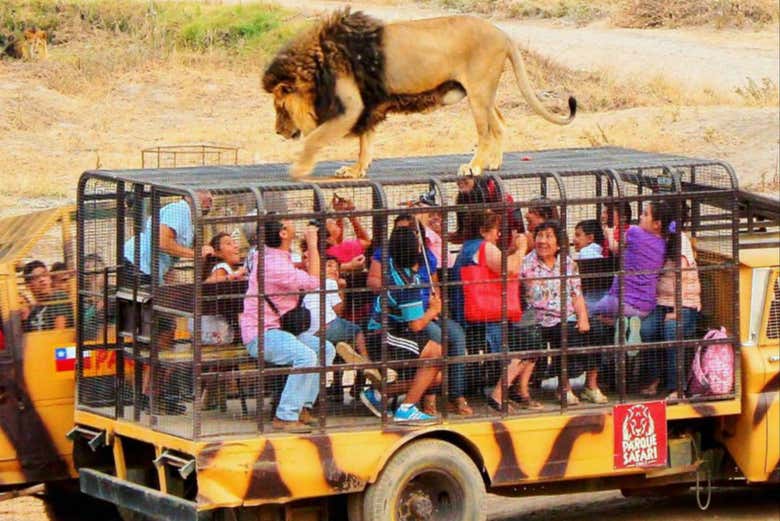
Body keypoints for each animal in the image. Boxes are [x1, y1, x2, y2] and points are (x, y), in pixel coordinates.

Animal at [262, 7, 572, 179]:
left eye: (280, 107)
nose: (277, 131)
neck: (318, 64)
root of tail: (503, 33)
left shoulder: (351, 107)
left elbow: (315, 138)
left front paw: (298, 169)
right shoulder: (367, 103)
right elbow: (365, 142)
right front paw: (355, 170)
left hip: (479, 92)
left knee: (485, 132)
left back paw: (474, 166)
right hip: (482, 94)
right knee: (499, 123)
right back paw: (493, 163)